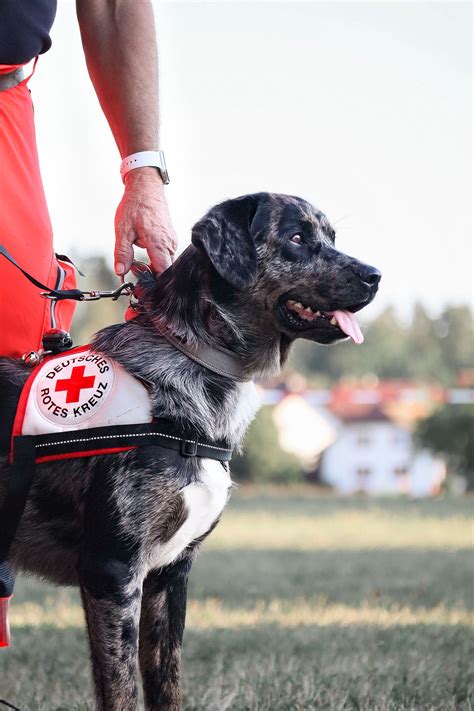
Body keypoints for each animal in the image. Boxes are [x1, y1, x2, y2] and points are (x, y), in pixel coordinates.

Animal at [0, 192, 380, 708]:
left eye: (331, 237)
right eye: (298, 237)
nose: (375, 275)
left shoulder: (170, 576)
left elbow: (167, 681)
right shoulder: (112, 573)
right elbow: (121, 690)